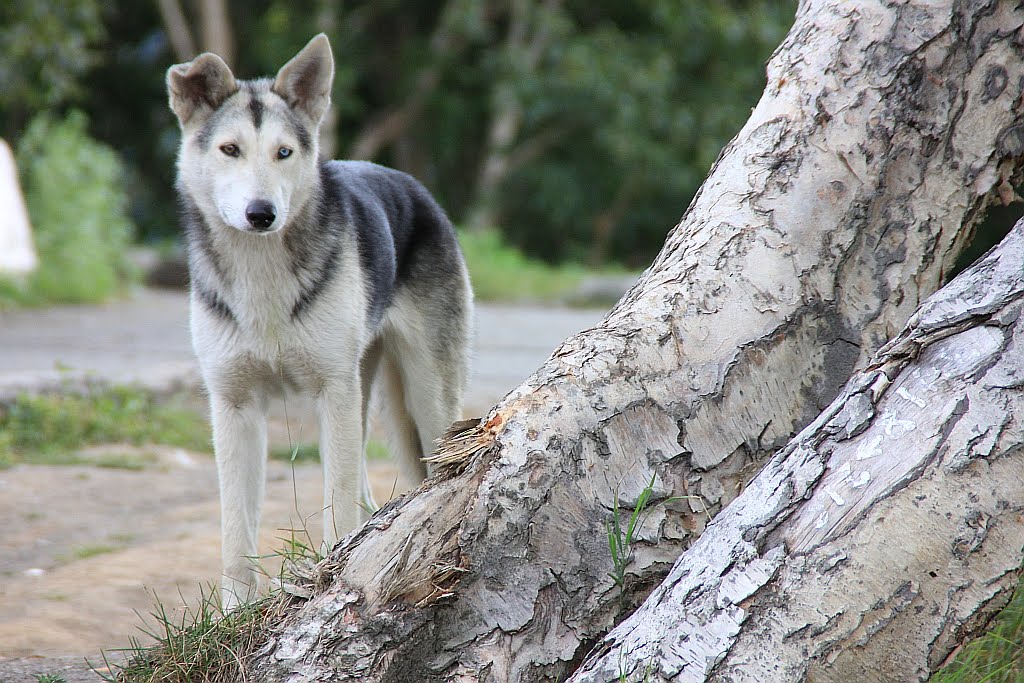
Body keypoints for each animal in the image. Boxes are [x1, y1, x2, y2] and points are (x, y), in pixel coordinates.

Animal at [165, 33, 473, 610]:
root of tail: (413, 185)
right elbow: (235, 533)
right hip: (370, 396)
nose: (261, 213)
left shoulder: (333, 391)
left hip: (422, 400)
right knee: (368, 493)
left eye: (283, 153)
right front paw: (234, 613)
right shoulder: (234, 405)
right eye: (230, 150)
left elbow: (337, 502)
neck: (261, 274)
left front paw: (333, 573)